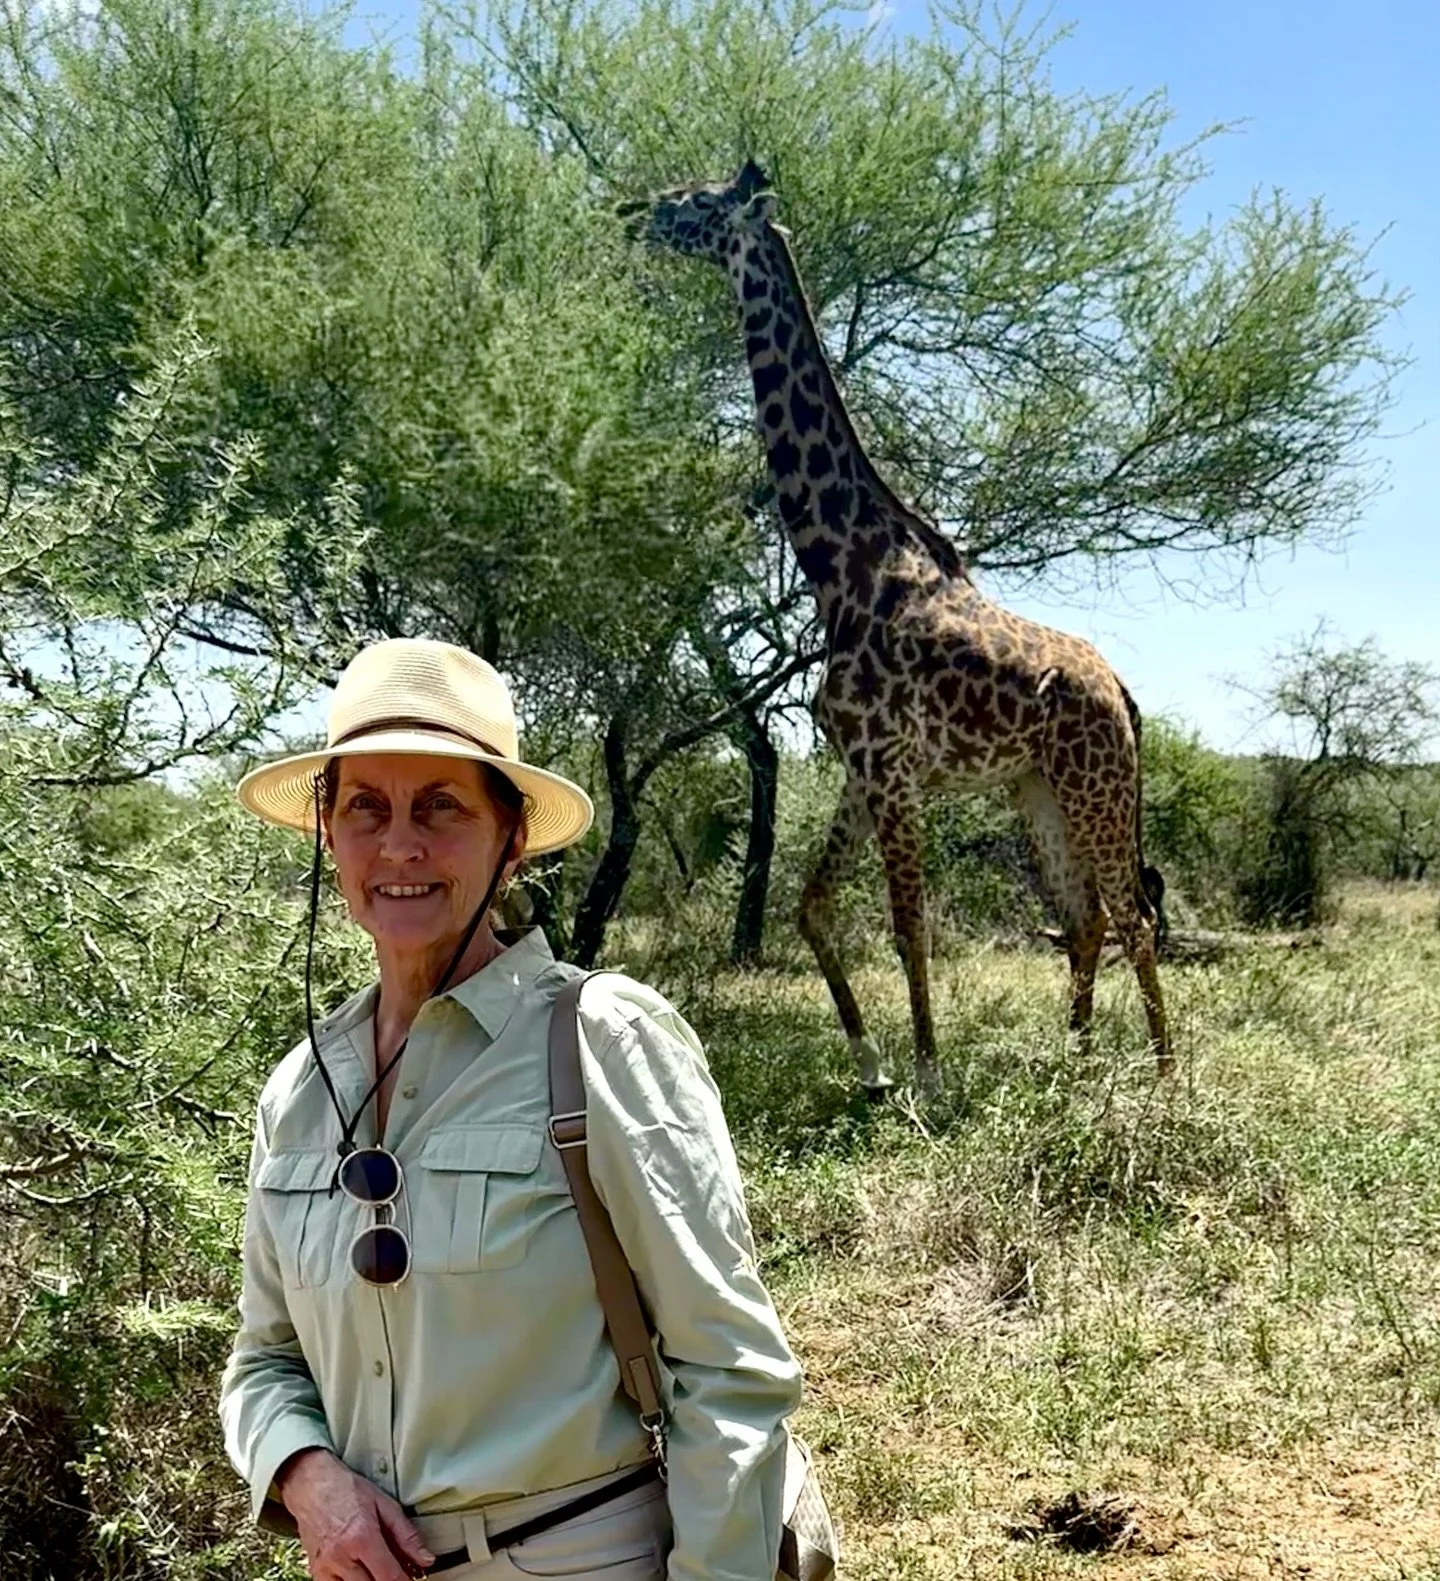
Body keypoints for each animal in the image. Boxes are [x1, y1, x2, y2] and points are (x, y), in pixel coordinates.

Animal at [630, 161, 1171, 1096]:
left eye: (694, 199)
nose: (637, 213)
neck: (838, 565)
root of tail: (1124, 694)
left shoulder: (893, 767)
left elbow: (907, 922)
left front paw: (929, 1076)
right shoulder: (859, 767)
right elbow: (810, 907)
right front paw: (872, 1063)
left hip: (1093, 782)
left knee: (1133, 914)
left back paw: (1168, 1080)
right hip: (1037, 788)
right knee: (1089, 916)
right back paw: (1074, 1062)